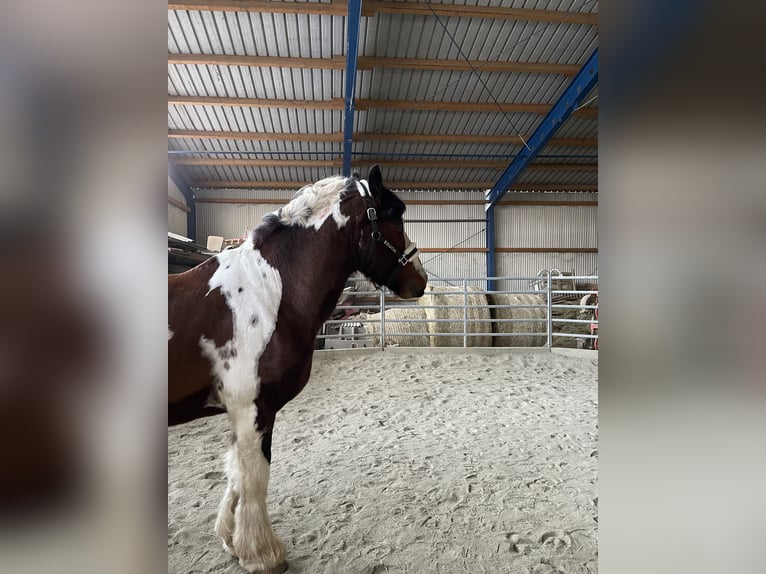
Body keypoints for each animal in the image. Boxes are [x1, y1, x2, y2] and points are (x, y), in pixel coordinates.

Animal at [168, 166, 428, 574]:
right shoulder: (255, 408)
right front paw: (263, 554)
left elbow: (236, 473)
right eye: (395, 218)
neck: (267, 292)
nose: (421, 280)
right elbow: (254, 475)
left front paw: (231, 539)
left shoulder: (242, 413)